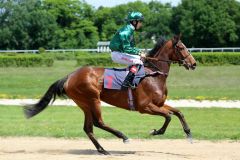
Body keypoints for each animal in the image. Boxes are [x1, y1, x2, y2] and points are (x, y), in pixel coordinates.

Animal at [23, 34, 197, 154]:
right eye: (182, 47)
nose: (194, 63)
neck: (153, 74)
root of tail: (70, 76)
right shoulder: (145, 107)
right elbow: (168, 116)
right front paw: (156, 131)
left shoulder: (158, 104)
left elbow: (178, 112)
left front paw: (189, 134)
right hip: (93, 100)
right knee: (98, 122)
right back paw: (123, 137)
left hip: (84, 104)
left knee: (88, 128)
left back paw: (102, 150)